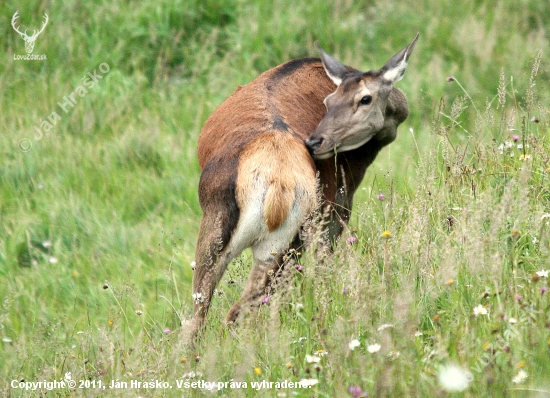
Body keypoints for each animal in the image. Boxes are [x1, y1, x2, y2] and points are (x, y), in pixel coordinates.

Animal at [192, 35, 420, 338]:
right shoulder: (338, 209)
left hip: (260, 241)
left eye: (365, 98)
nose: (315, 142)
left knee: (209, 312)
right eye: (329, 100)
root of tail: (277, 186)